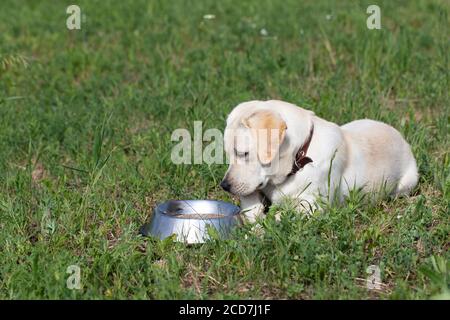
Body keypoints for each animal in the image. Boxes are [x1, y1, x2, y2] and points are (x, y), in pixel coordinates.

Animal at [221, 100, 418, 222]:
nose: (224, 186)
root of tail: (402, 138)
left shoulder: (312, 205)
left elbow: (282, 215)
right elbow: (250, 204)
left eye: (243, 153)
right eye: (228, 153)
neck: (299, 158)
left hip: (408, 182)